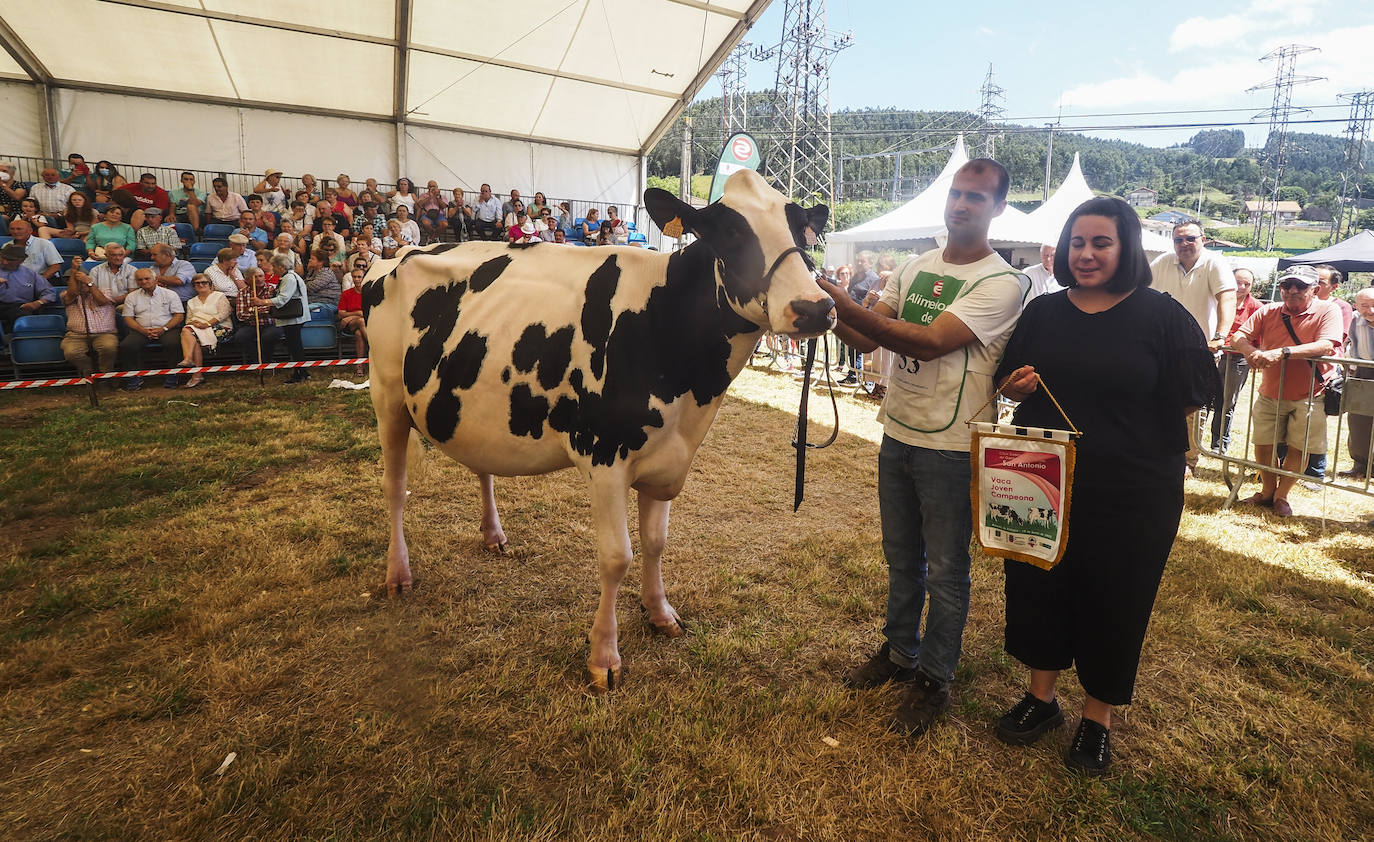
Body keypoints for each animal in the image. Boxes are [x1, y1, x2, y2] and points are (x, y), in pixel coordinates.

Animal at [359, 168, 829, 689]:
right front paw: (604, 656)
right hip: (387, 397)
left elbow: (656, 543)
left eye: (804, 229)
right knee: (394, 488)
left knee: (481, 466)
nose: (815, 307)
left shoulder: (666, 459)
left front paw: (660, 613)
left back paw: (493, 534)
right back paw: (398, 574)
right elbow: (616, 557)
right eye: (730, 231)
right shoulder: (605, 456)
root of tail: (394, 254)